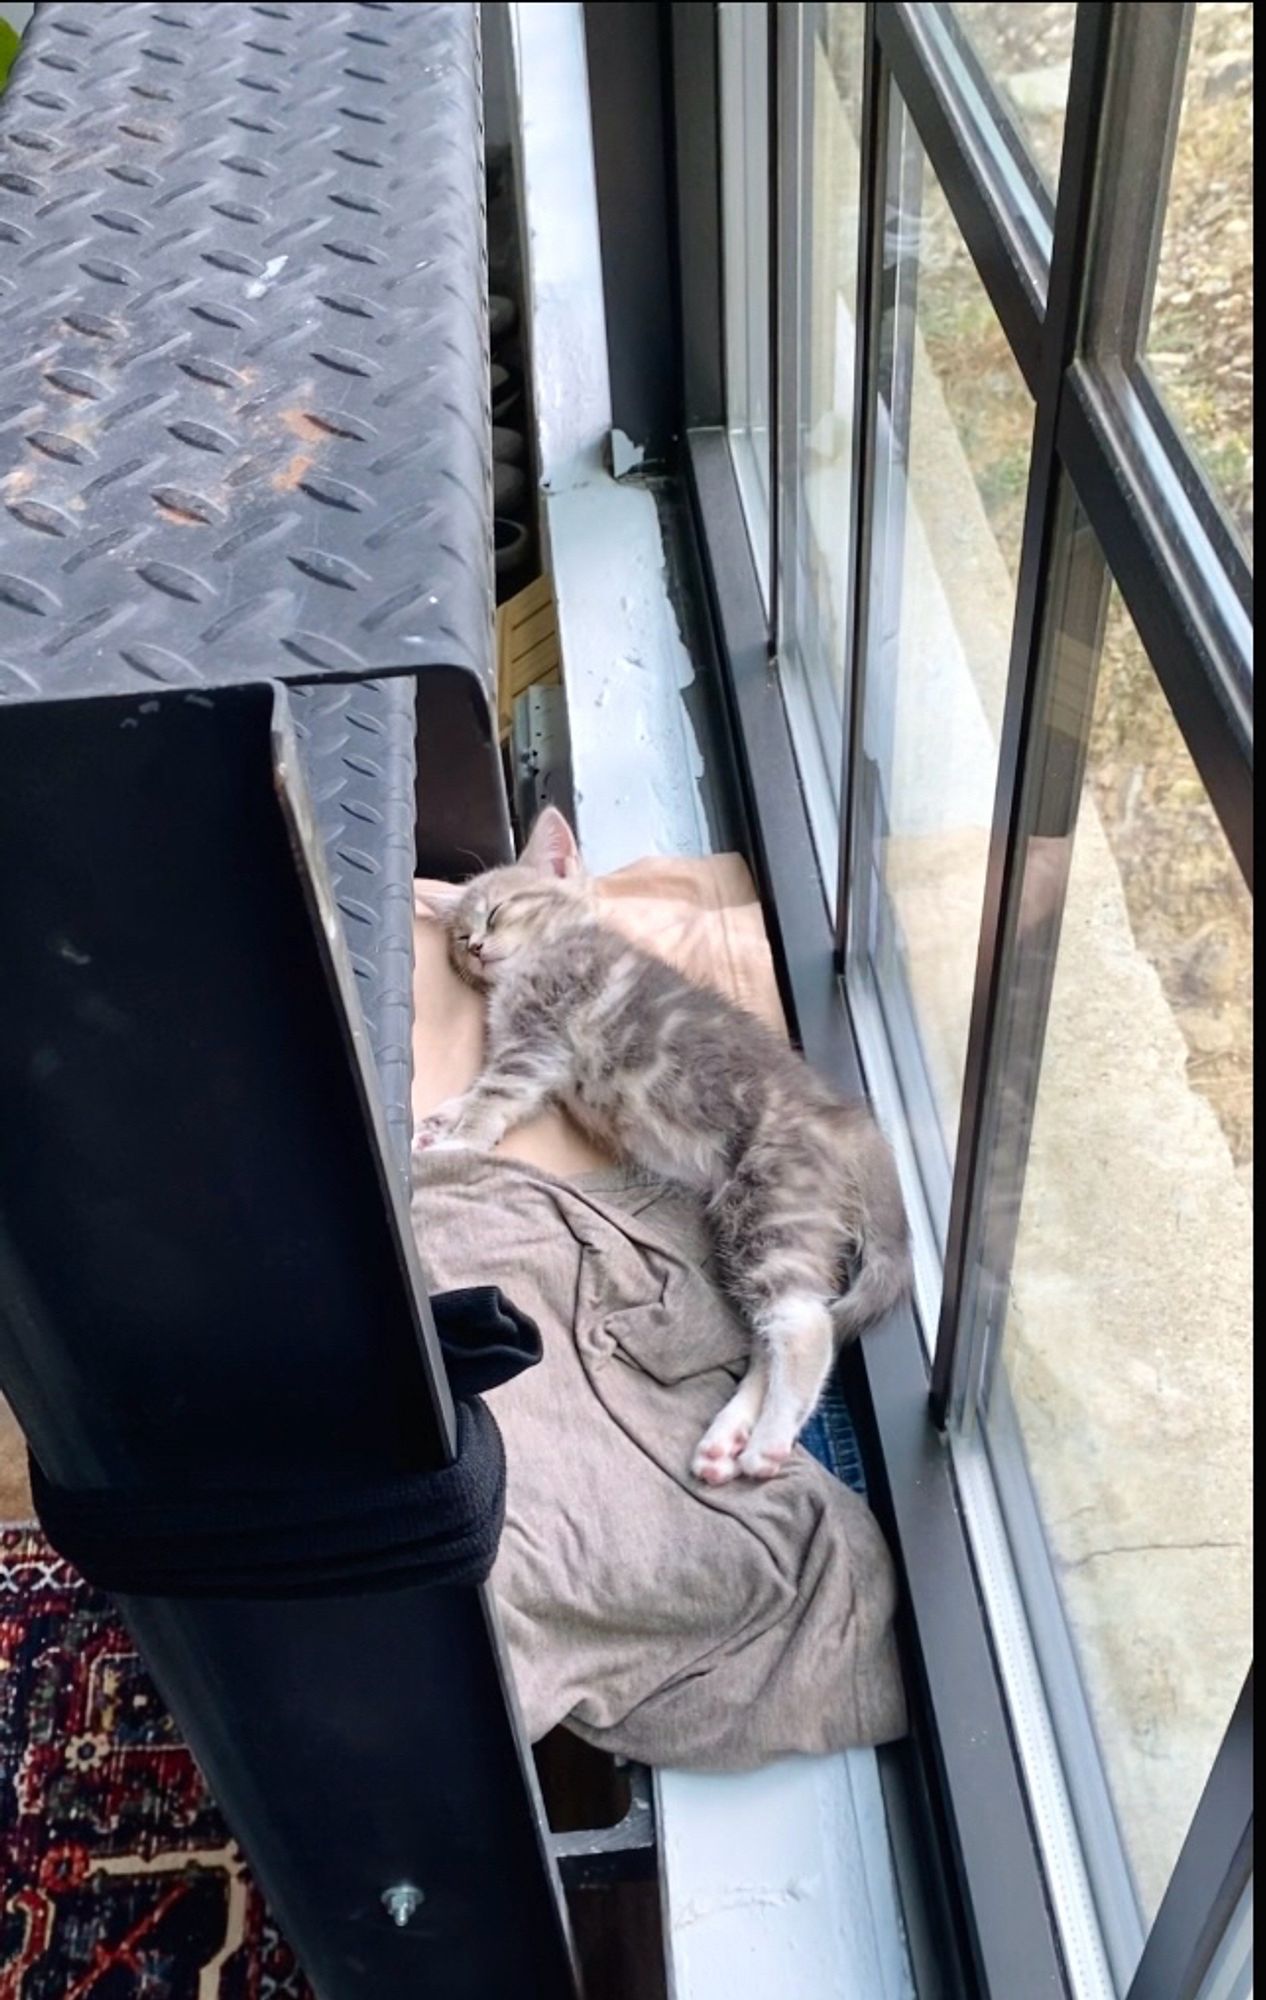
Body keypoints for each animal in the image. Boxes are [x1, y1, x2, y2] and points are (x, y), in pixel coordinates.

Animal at [414, 804, 908, 1480]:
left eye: (497, 913)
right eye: (461, 937)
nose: (478, 949)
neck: (549, 950)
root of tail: (848, 1120)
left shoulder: (538, 1041)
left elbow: (494, 1098)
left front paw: (454, 1147)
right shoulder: (528, 1051)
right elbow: (478, 1092)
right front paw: (439, 1122)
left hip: (772, 1208)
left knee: (807, 1327)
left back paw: (766, 1442)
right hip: (763, 1227)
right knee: (782, 1325)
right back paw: (729, 1436)